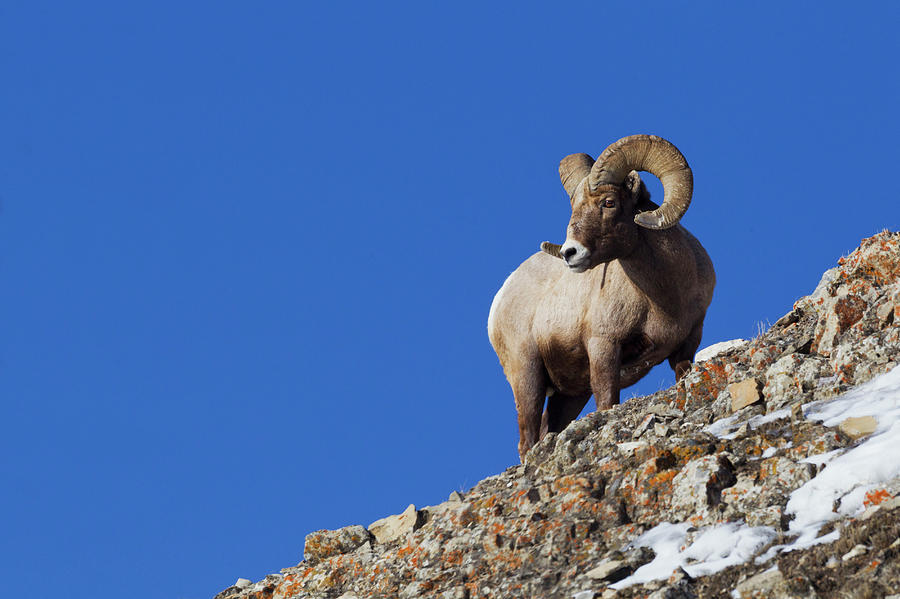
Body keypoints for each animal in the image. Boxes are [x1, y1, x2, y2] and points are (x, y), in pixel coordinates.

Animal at [488, 135, 712, 460]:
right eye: (574, 207)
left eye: (609, 202)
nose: (570, 253)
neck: (664, 300)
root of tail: (501, 296)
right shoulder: (604, 347)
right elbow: (607, 401)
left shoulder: (687, 345)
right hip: (527, 375)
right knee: (527, 438)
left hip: (569, 395)